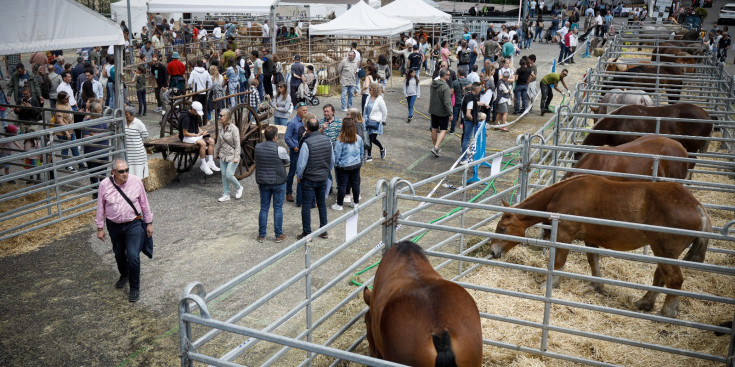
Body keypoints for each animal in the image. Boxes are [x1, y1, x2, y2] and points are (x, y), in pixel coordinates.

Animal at [488, 176, 712, 320]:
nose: (493, 251)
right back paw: (645, 302)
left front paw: (551, 284)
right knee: (661, 276)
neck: (564, 193)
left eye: (502, 227)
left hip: (664, 250)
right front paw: (597, 285)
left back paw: (667, 312)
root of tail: (697, 206)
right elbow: (593, 260)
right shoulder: (590, 238)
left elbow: (559, 261)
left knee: (674, 279)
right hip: (664, 252)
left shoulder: (564, 234)